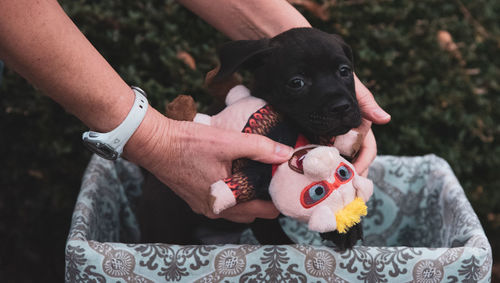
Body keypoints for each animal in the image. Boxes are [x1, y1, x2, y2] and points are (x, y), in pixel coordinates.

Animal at [140, 28, 364, 251]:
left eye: (344, 71)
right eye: (296, 83)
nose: (341, 107)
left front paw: (348, 226)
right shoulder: (260, 212)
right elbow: (273, 235)